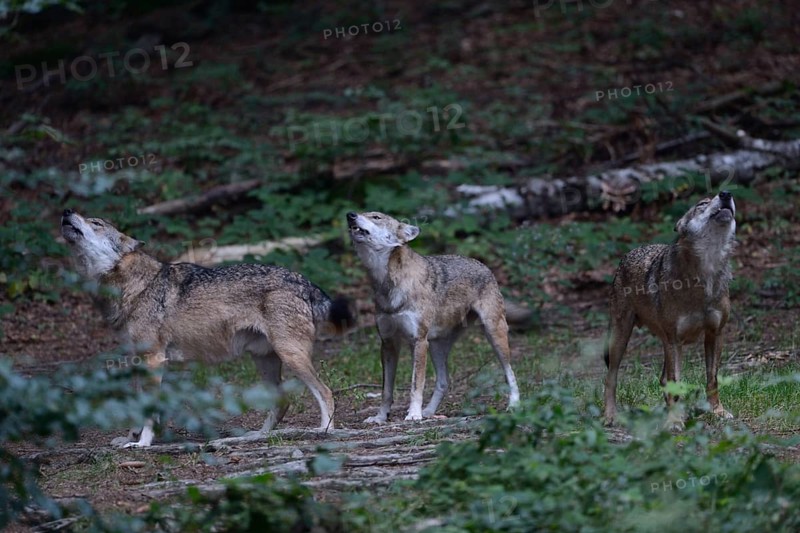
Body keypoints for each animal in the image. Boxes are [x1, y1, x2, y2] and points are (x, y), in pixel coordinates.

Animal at [60, 209, 355, 447]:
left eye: (96, 223)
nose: (66, 211)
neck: (131, 287)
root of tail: (304, 281)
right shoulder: (136, 361)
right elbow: (139, 407)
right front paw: (130, 437)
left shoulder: (154, 360)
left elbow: (150, 412)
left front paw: (142, 443)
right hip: (265, 361)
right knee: (282, 403)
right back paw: (258, 436)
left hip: (290, 356)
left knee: (326, 393)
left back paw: (323, 432)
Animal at [346, 211, 522, 423]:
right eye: (362, 213)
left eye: (376, 217)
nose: (350, 215)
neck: (386, 283)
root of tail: (483, 265)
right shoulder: (388, 343)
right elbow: (386, 391)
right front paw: (380, 418)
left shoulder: (419, 341)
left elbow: (416, 385)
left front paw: (413, 414)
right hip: (437, 347)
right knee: (444, 382)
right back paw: (429, 412)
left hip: (494, 335)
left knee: (510, 372)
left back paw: (514, 405)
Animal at [603, 191, 737, 426]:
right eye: (702, 204)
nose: (726, 194)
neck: (704, 277)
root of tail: (627, 255)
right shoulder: (674, 340)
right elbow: (676, 384)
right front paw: (674, 422)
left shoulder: (715, 334)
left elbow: (712, 380)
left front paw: (717, 412)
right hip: (621, 338)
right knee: (611, 378)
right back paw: (611, 416)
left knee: (663, 379)